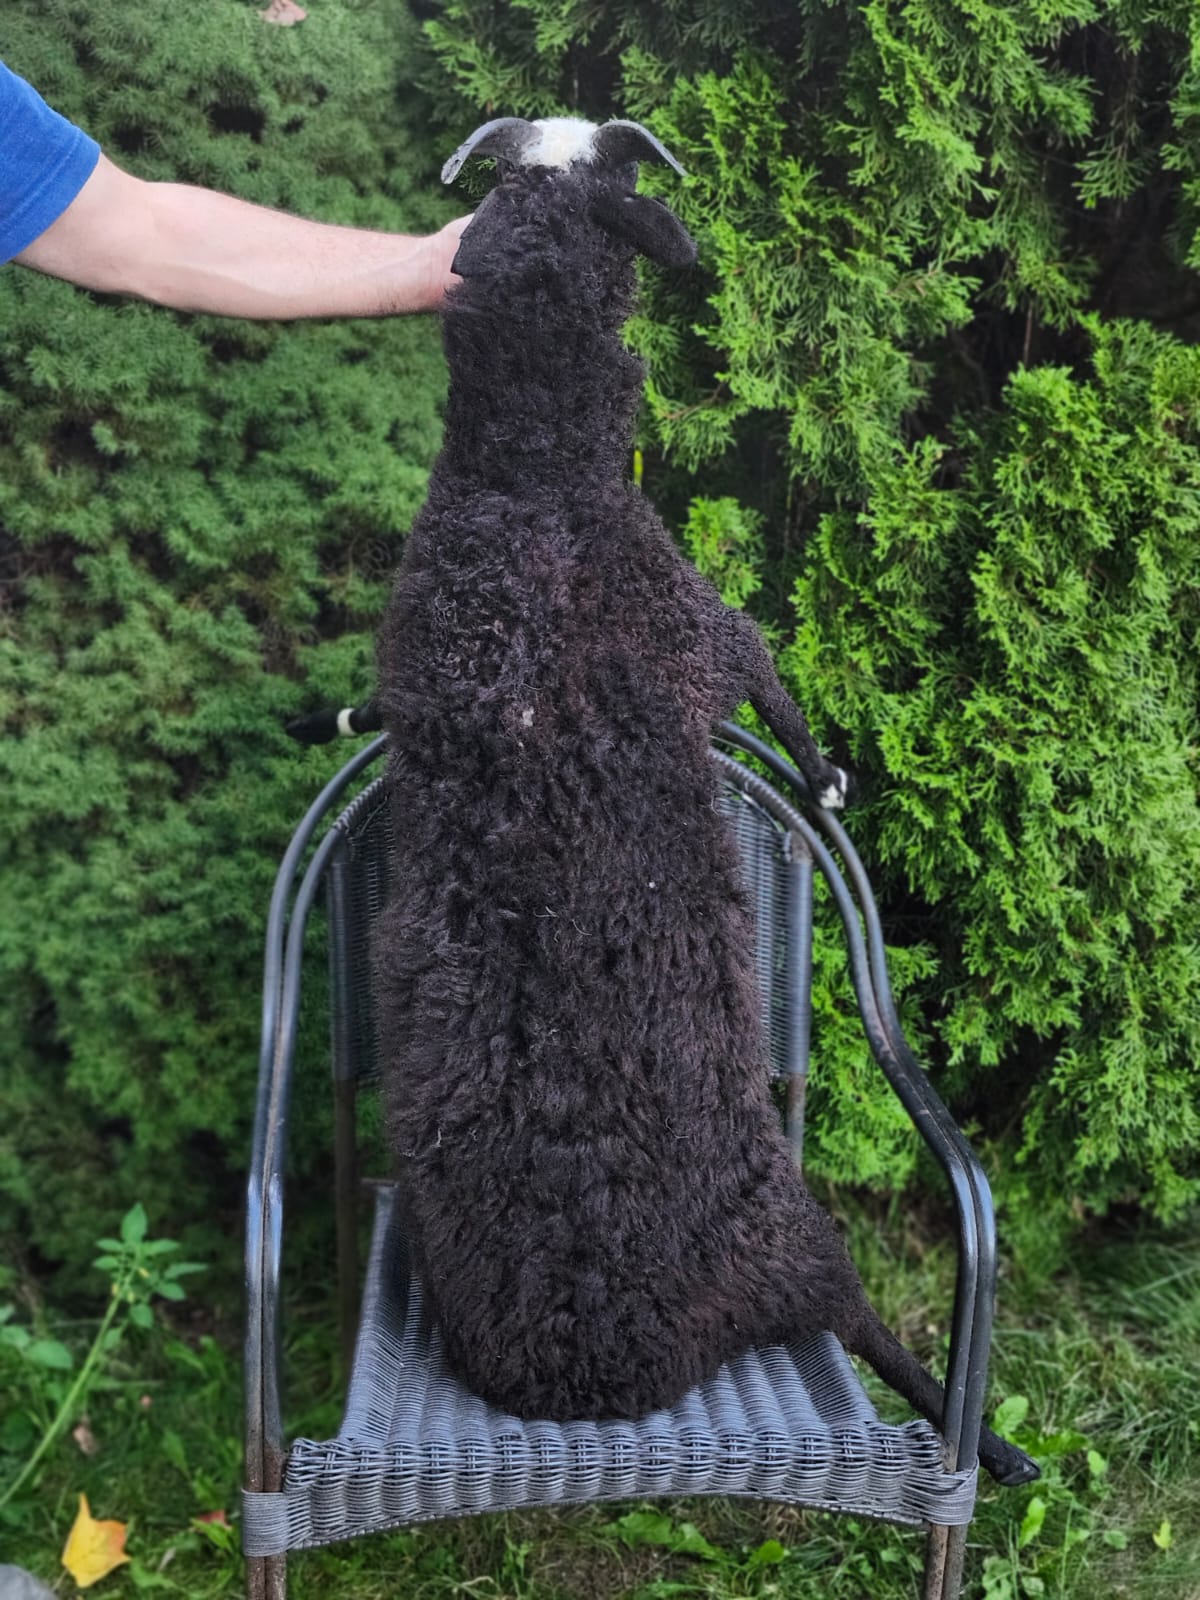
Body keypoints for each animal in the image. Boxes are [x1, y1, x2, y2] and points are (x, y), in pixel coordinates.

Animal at [348, 116, 1036, 1487]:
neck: (526, 475)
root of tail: (590, 1372)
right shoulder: (709, 637)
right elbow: (775, 683)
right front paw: (827, 770)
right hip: (800, 1236)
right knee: (857, 1311)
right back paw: (987, 1439)